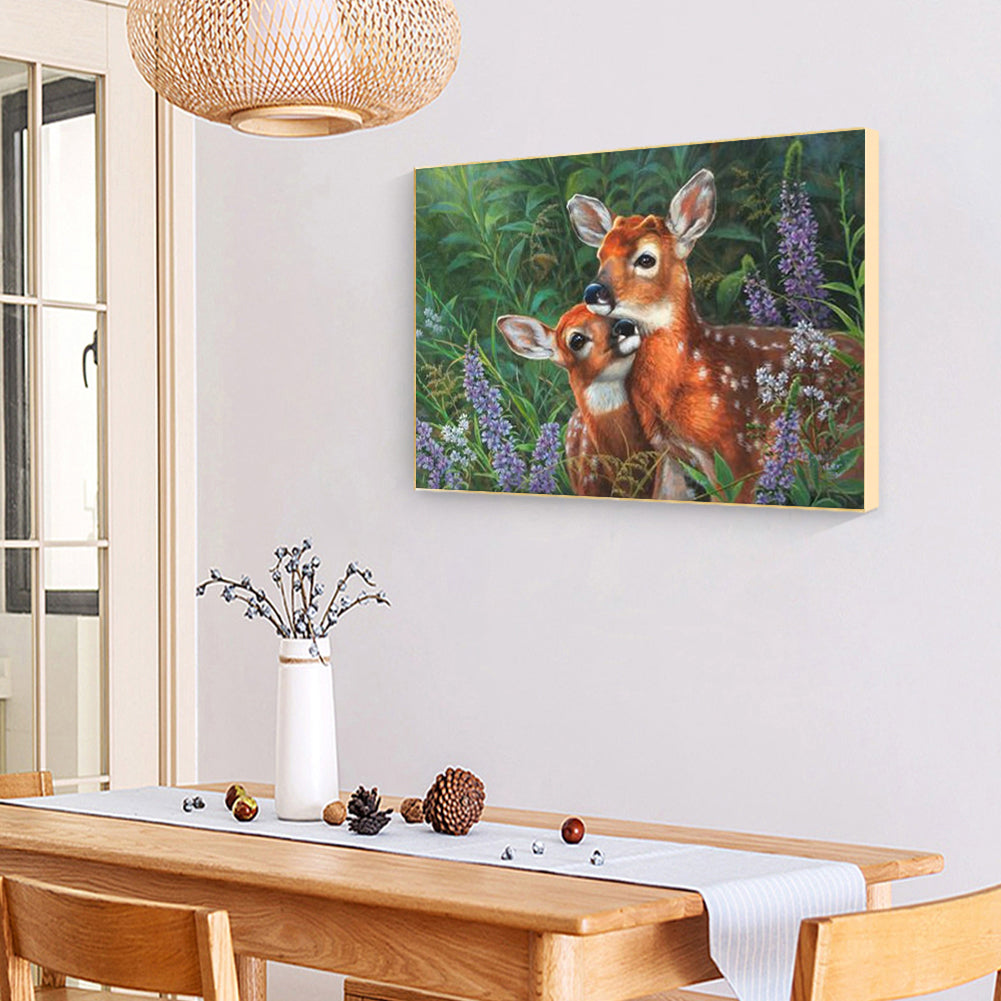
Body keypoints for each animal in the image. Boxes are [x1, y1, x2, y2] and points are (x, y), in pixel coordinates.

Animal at [567, 169, 863, 502]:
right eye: (601, 255)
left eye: (646, 259)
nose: (594, 291)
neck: (692, 368)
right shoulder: (670, 453)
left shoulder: (740, 453)